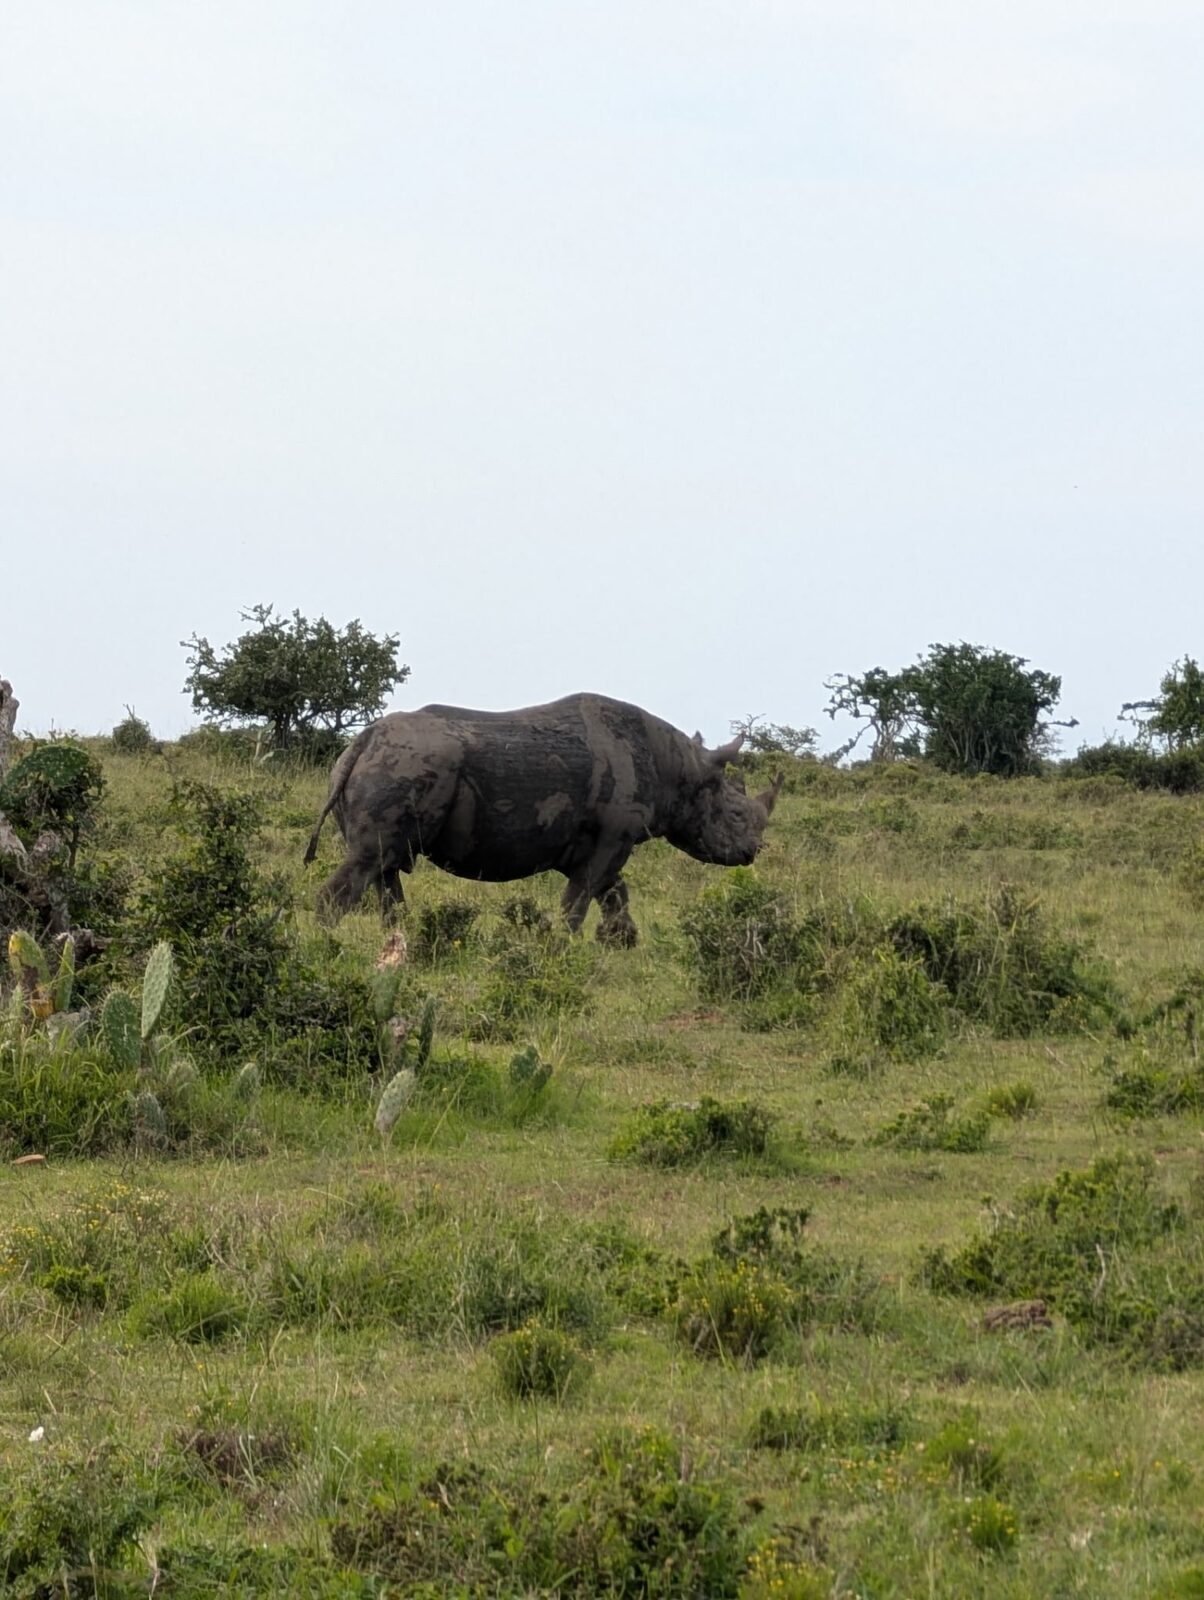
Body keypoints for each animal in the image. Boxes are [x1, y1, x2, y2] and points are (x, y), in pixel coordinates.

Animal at [304, 692, 781, 945]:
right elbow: (582, 895)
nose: (751, 853)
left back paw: (402, 941)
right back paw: (325, 942)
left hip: (387, 767)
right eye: (735, 813)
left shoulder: (602, 839)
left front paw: (621, 942)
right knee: (370, 860)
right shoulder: (615, 834)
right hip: (402, 766)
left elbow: (614, 891)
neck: (683, 771)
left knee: (384, 867)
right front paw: (562, 945)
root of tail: (361, 742)